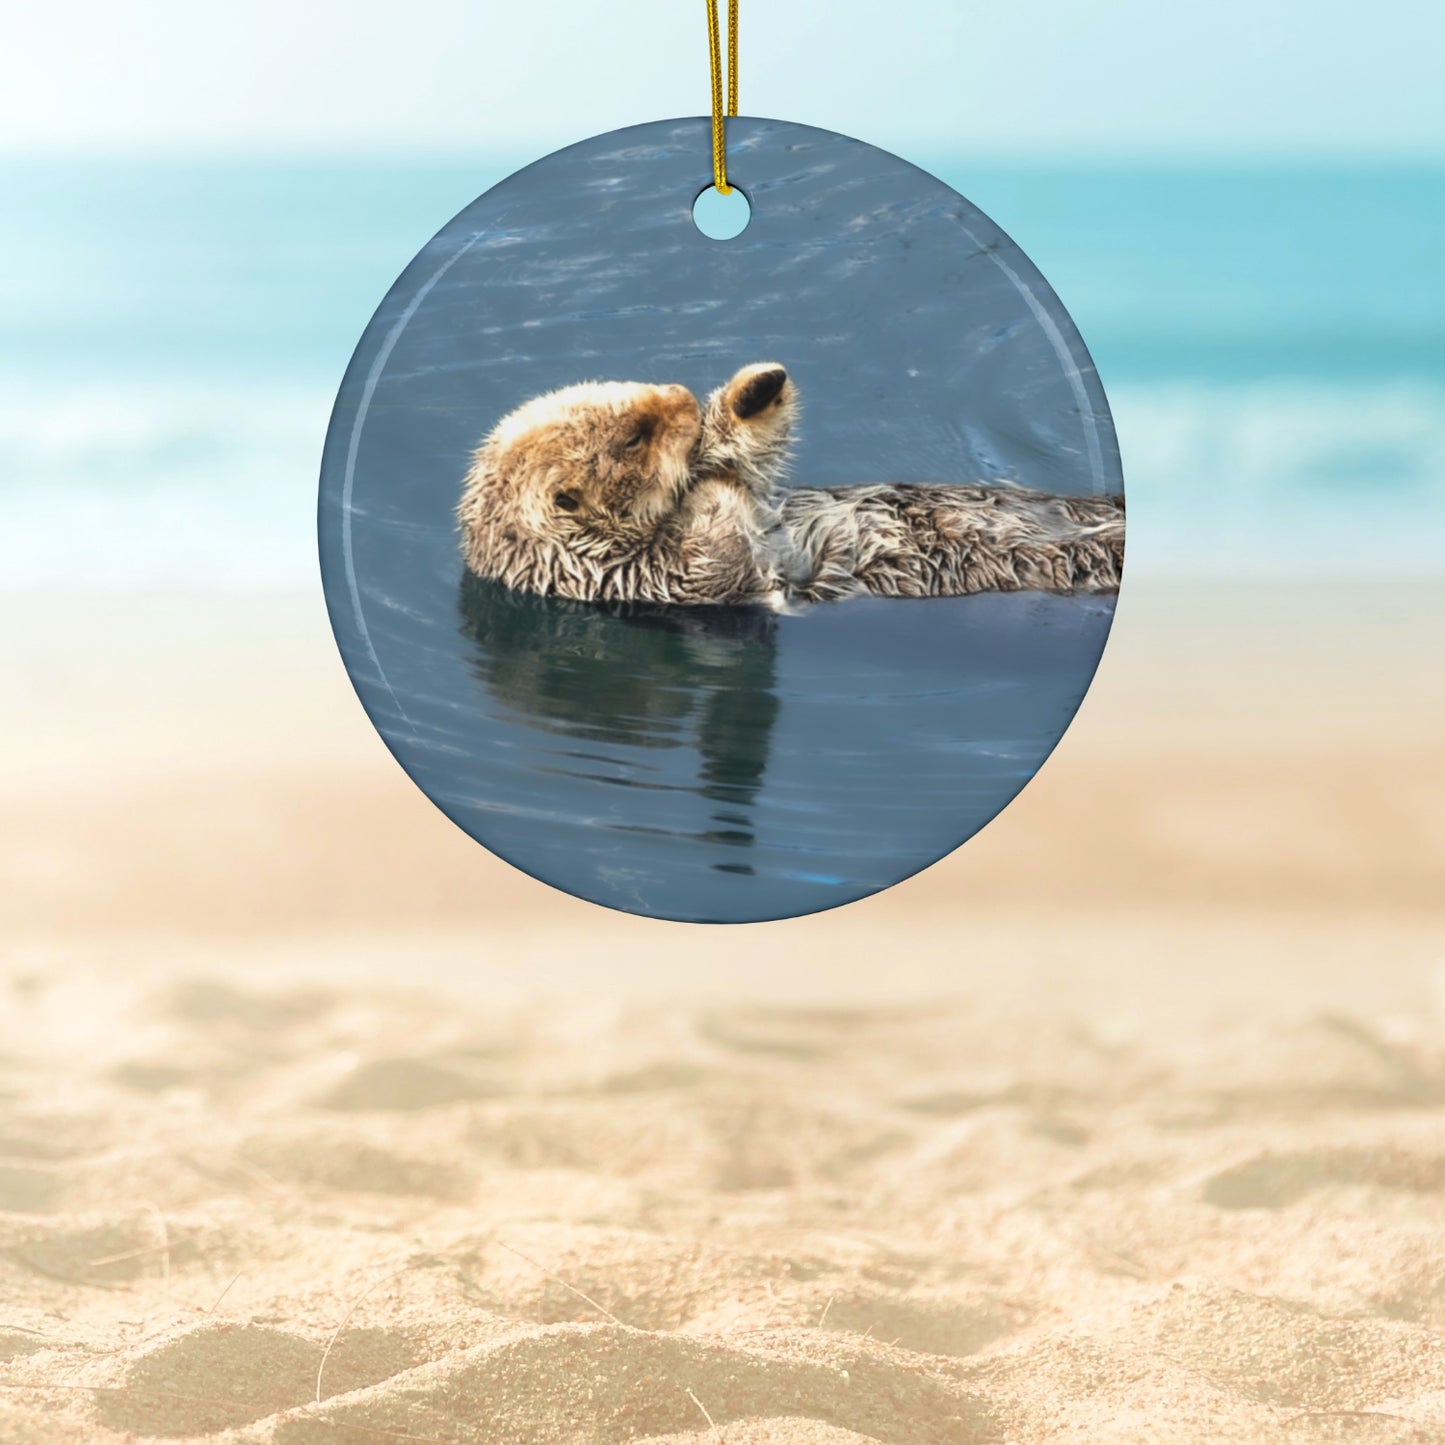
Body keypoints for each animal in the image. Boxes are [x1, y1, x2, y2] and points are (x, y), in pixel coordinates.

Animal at [458, 364, 1123, 606]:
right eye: (634, 438)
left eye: (631, 388)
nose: (681, 397)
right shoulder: (648, 580)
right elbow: (716, 555)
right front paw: (708, 483)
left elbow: (753, 467)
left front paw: (752, 393)